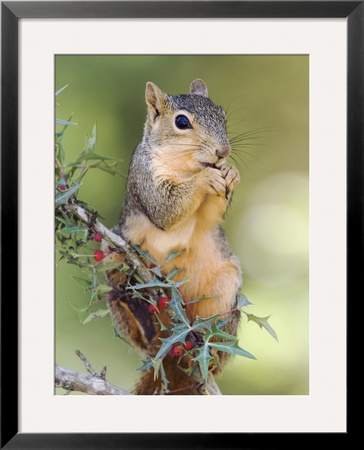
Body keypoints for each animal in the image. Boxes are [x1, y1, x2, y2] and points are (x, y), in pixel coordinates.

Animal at [103, 80, 242, 394]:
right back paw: (140, 316)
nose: (223, 151)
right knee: (140, 335)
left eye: (223, 116)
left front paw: (230, 171)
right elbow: (165, 208)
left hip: (225, 290)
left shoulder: (207, 219)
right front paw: (205, 179)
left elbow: (210, 217)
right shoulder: (145, 177)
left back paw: (208, 354)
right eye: (181, 122)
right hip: (111, 254)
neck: (187, 166)